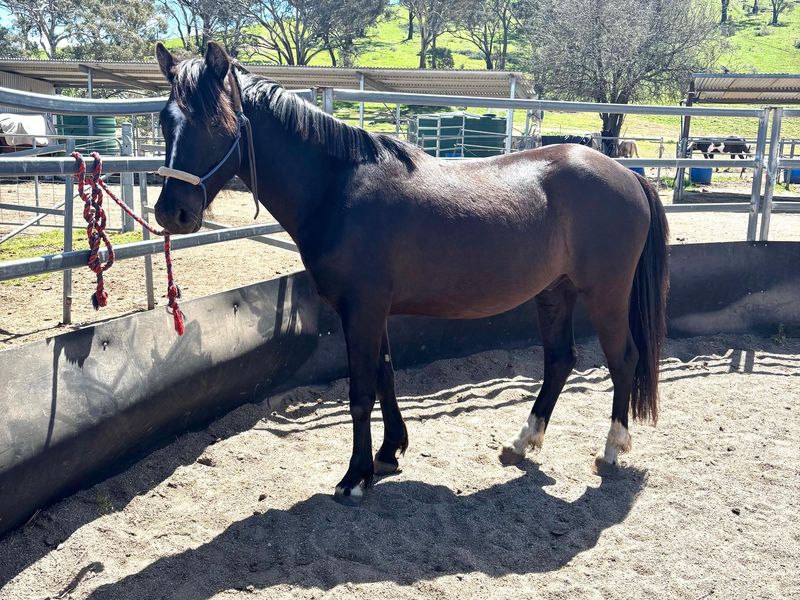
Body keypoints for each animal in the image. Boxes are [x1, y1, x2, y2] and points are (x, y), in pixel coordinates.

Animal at [153, 42, 669, 505]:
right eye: (165, 120)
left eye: (215, 123)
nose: (171, 212)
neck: (337, 188)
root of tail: (628, 174)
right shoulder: (373, 310)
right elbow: (385, 375)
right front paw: (388, 453)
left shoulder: (361, 310)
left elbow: (361, 391)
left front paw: (355, 477)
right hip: (554, 293)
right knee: (560, 361)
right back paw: (523, 442)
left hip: (605, 295)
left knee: (623, 359)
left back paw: (611, 450)